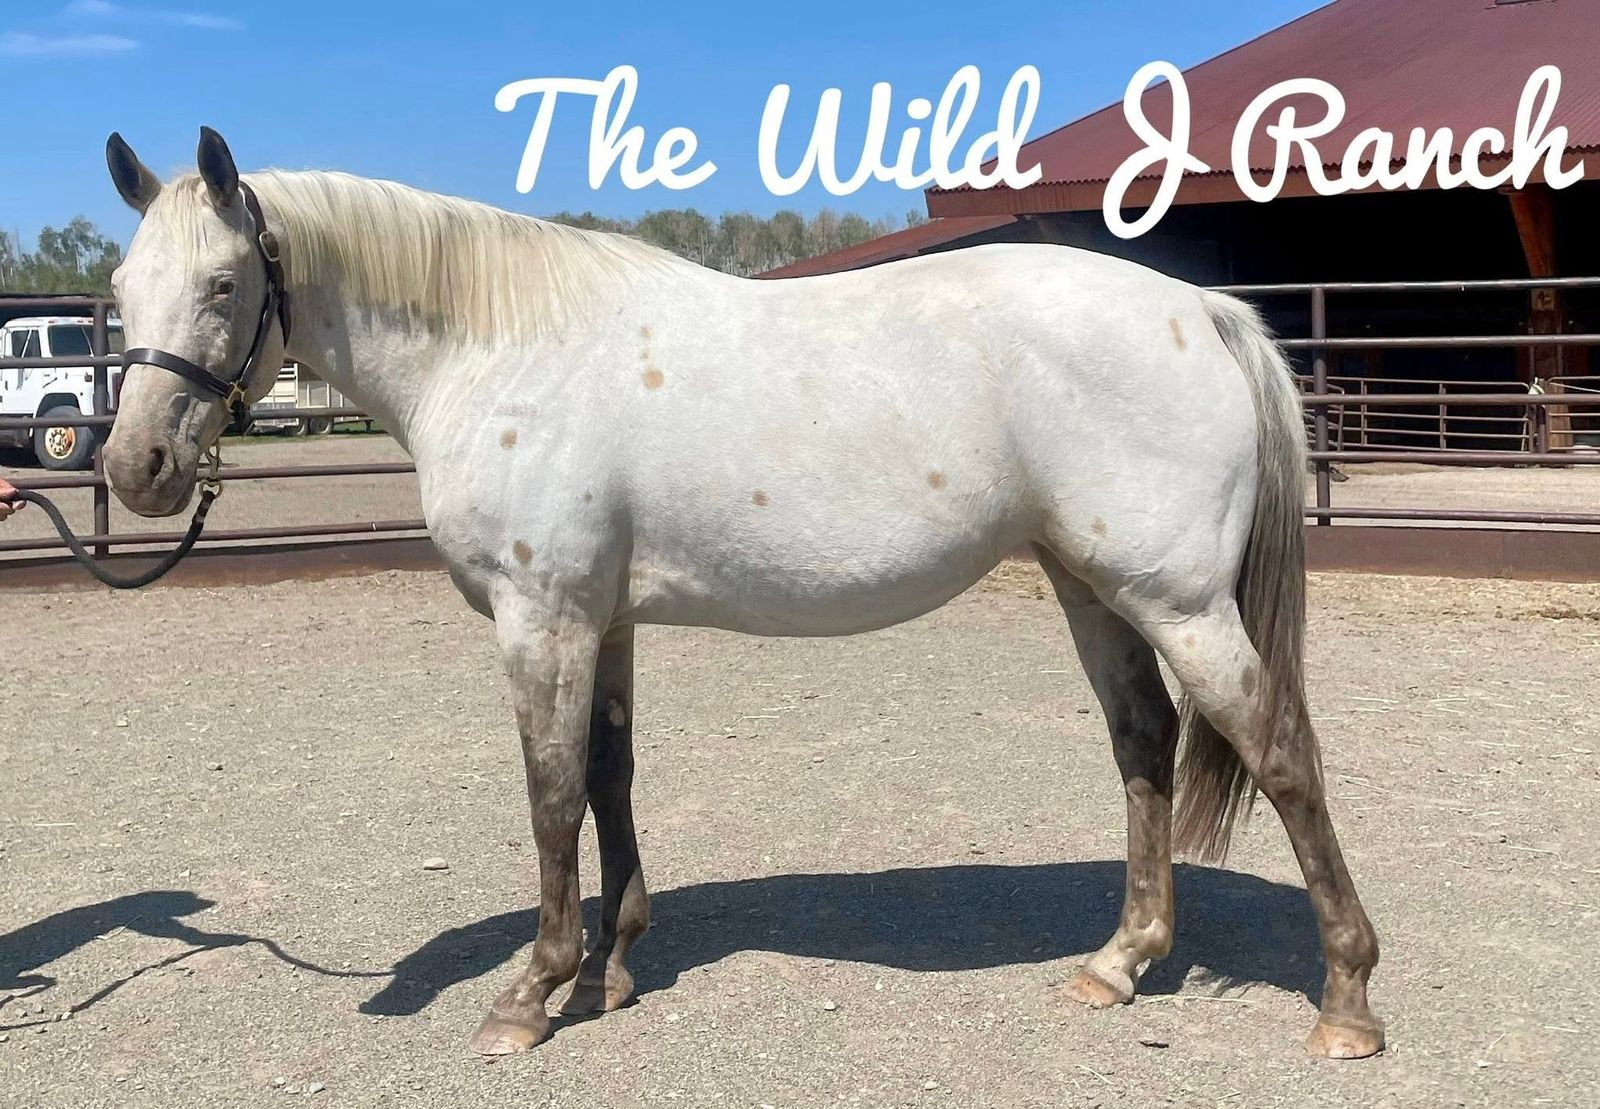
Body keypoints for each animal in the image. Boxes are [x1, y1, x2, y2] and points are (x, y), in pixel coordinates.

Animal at [98, 128, 1383, 1059]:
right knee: (1143, 743)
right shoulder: (602, 619)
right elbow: (609, 776)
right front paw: (612, 968)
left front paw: (532, 992)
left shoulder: (542, 617)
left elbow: (550, 798)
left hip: (1180, 600)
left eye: (223, 282)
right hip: (1091, 586)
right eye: (120, 283)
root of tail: (1200, 310)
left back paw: (1345, 1000)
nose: (136, 467)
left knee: (1278, 751)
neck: (499, 349)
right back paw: (1120, 962)